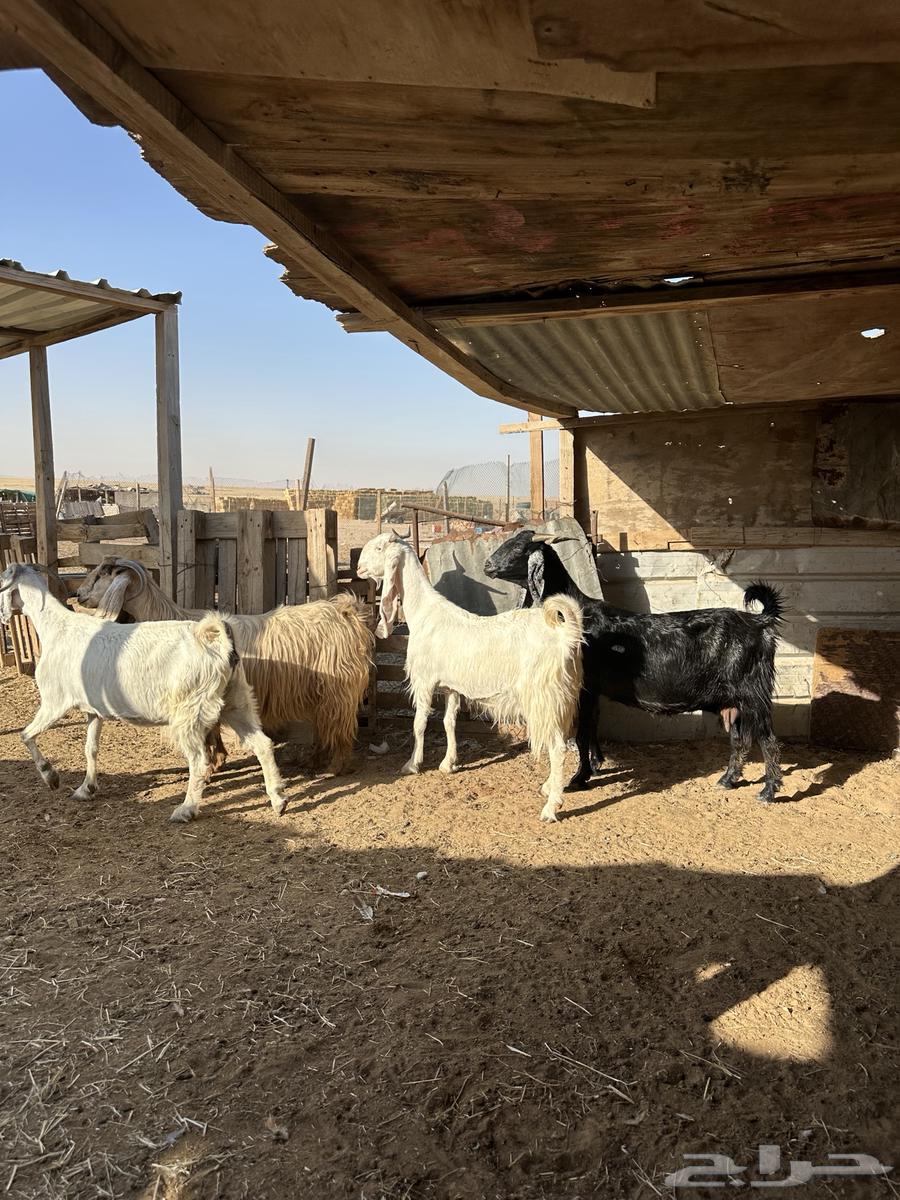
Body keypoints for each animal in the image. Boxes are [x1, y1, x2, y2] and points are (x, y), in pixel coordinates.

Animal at [0, 563, 290, 823]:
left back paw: (186, 810)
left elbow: (26, 735)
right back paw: (278, 800)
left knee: (200, 761)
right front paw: (86, 789)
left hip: (190, 711)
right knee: (263, 744)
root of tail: (216, 640)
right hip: (236, 701)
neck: (55, 629)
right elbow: (90, 748)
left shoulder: (54, 702)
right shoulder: (93, 710)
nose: (3, 617)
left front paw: (51, 777)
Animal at [77, 557, 373, 775]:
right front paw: (218, 760)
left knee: (341, 728)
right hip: (323, 691)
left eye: (103, 574)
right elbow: (213, 732)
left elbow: (207, 735)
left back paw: (334, 767)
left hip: (338, 690)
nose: (78, 594)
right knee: (326, 726)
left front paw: (209, 766)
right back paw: (314, 760)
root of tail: (346, 612)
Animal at [356, 531, 583, 821]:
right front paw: (448, 763)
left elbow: (419, 723)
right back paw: (549, 786)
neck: (425, 614)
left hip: (543, 696)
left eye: (379, 548)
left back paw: (551, 806)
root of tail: (566, 636)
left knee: (557, 747)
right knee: (562, 740)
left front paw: (412, 764)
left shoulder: (425, 681)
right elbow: (449, 722)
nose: (358, 568)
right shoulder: (451, 686)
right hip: (564, 697)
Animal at [484, 530, 784, 802]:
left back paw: (768, 791)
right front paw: (595, 765)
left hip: (752, 693)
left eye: (519, 548)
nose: (487, 565)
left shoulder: (585, 687)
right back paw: (727, 779)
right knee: (739, 739)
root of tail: (761, 622)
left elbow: (582, 733)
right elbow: (593, 727)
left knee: (768, 739)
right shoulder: (594, 690)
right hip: (732, 703)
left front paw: (578, 778)